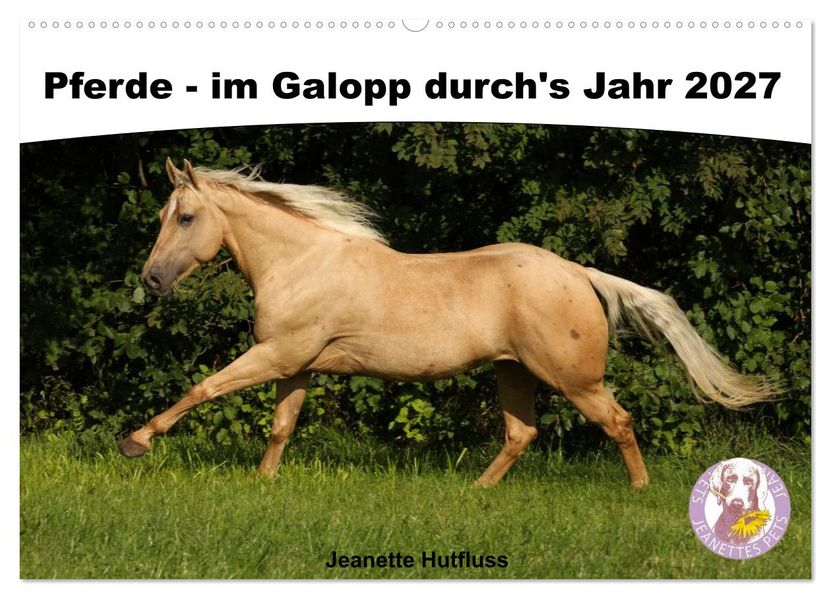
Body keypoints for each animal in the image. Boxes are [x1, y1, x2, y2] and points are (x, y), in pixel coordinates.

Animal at [118, 158, 775, 489]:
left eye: (185, 217)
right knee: (521, 434)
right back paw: (478, 492)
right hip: (513, 372)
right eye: (163, 215)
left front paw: (136, 441)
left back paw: (638, 492)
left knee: (617, 420)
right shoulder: (295, 364)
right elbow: (281, 426)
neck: (301, 263)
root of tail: (579, 272)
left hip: (573, 378)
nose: (151, 281)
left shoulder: (278, 355)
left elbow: (203, 387)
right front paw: (263, 482)